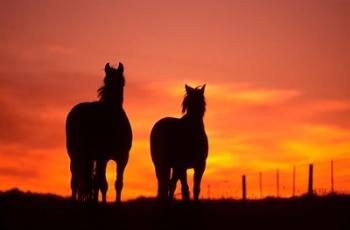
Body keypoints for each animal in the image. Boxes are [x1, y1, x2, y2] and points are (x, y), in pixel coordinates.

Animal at [66, 62, 132, 202]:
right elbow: (102, 184)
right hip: (75, 155)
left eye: (121, 81)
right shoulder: (103, 157)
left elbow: (118, 183)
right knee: (75, 181)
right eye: (106, 80)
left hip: (88, 156)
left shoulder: (122, 158)